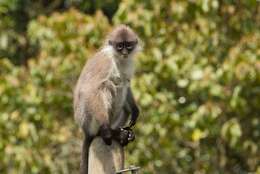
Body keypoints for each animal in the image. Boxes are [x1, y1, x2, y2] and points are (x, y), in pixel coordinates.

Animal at [73, 24, 141, 174]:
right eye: (120, 46)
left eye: (128, 45)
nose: (125, 52)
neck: (118, 59)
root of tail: (85, 131)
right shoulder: (105, 61)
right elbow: (89, 90)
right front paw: (106, 130)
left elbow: (127, 82)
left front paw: (135, 111)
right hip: (88, 119)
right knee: (107, 85)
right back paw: (109, 132)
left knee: (122, 84)